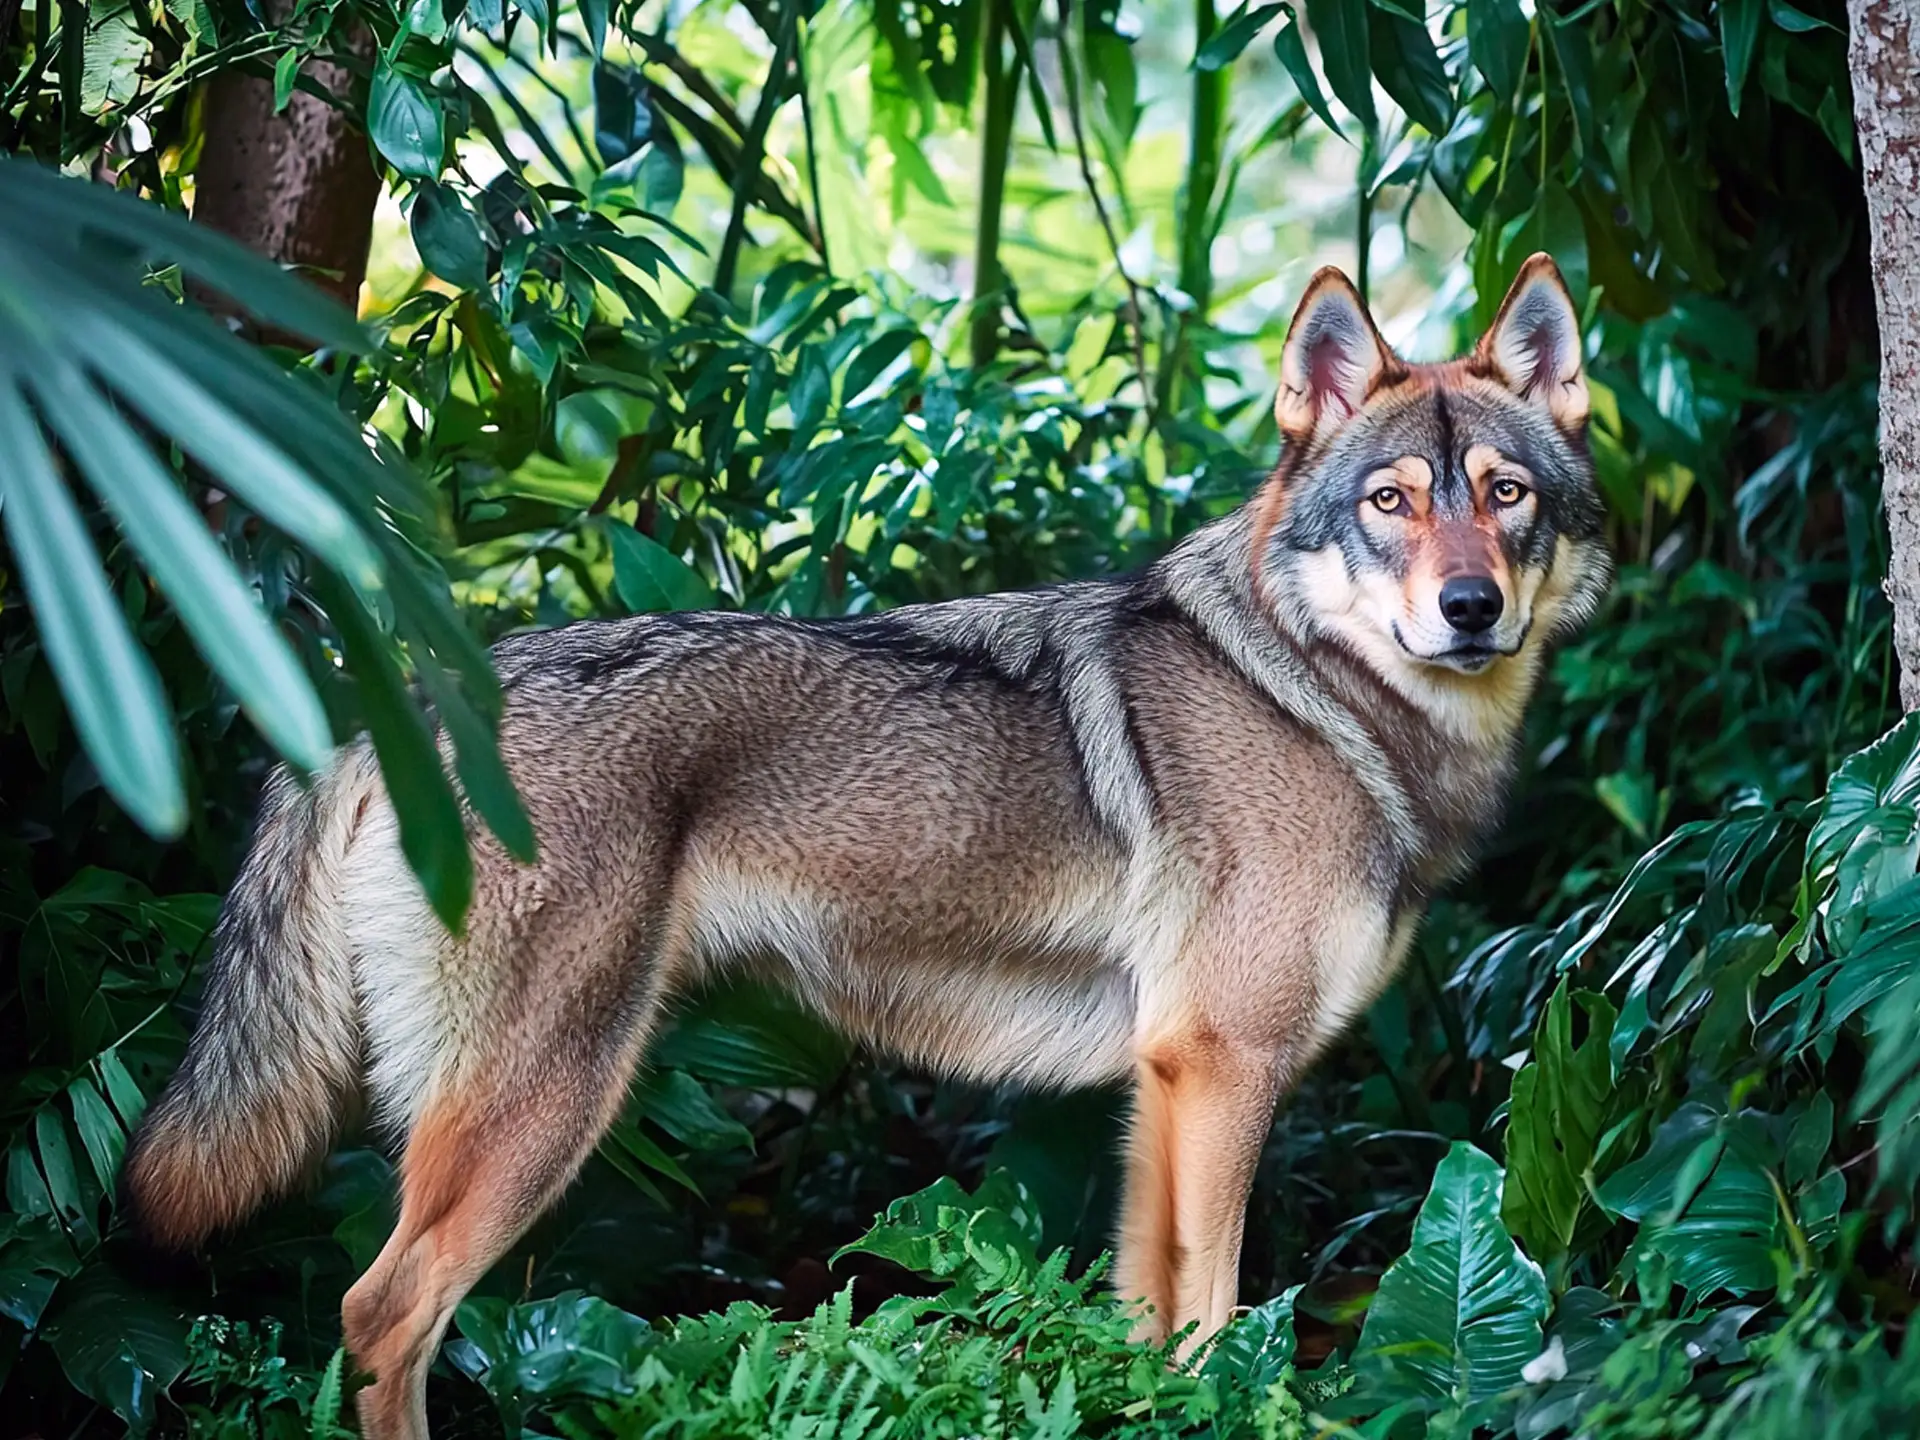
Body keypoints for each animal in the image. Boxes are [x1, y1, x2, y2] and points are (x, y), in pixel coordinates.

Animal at [127, 253, 1612, 1436]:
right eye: (1391, 504)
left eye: (1505, 495)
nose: (1470, 609)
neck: (1318, 701)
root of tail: (406, 699)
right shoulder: (1223, 1071)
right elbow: (1214, 1319)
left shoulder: (1161, 1084)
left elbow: (1143, 1325)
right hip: (547, 1105)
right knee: (380, 1312)